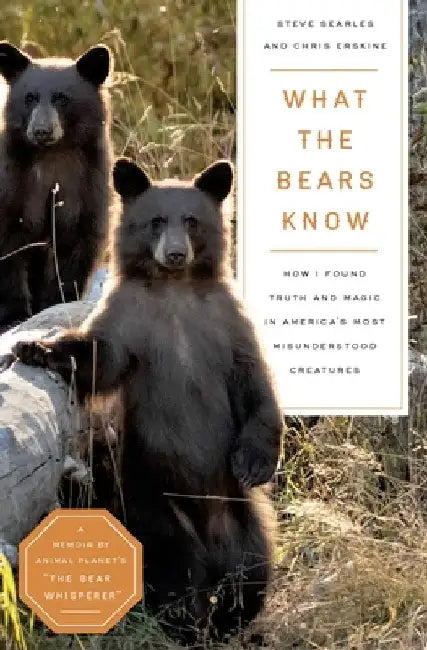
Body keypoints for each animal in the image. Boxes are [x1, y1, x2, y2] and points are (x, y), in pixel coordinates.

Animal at [0, 42, 112, 332]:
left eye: (62, 98)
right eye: (29, 97)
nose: (41, 130)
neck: (52, 157)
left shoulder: (86, 186)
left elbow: (75, 248)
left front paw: (57, 303)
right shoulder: (13, 185)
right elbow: (9, 250)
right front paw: (14, 315)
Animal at [13, 158, 282, 643]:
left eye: (191, 220)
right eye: (156, 220)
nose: (175, 254)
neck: (174, 292)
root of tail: (211, 536)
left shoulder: (226, 325)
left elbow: (257, 386)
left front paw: (254, 461)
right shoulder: (130, 323)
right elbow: (98, 357)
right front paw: (34, 348)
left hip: (244, 518)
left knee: (252, 569)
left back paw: (234, 619)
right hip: (152, 503)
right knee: (175, 567)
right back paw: (189, 623)